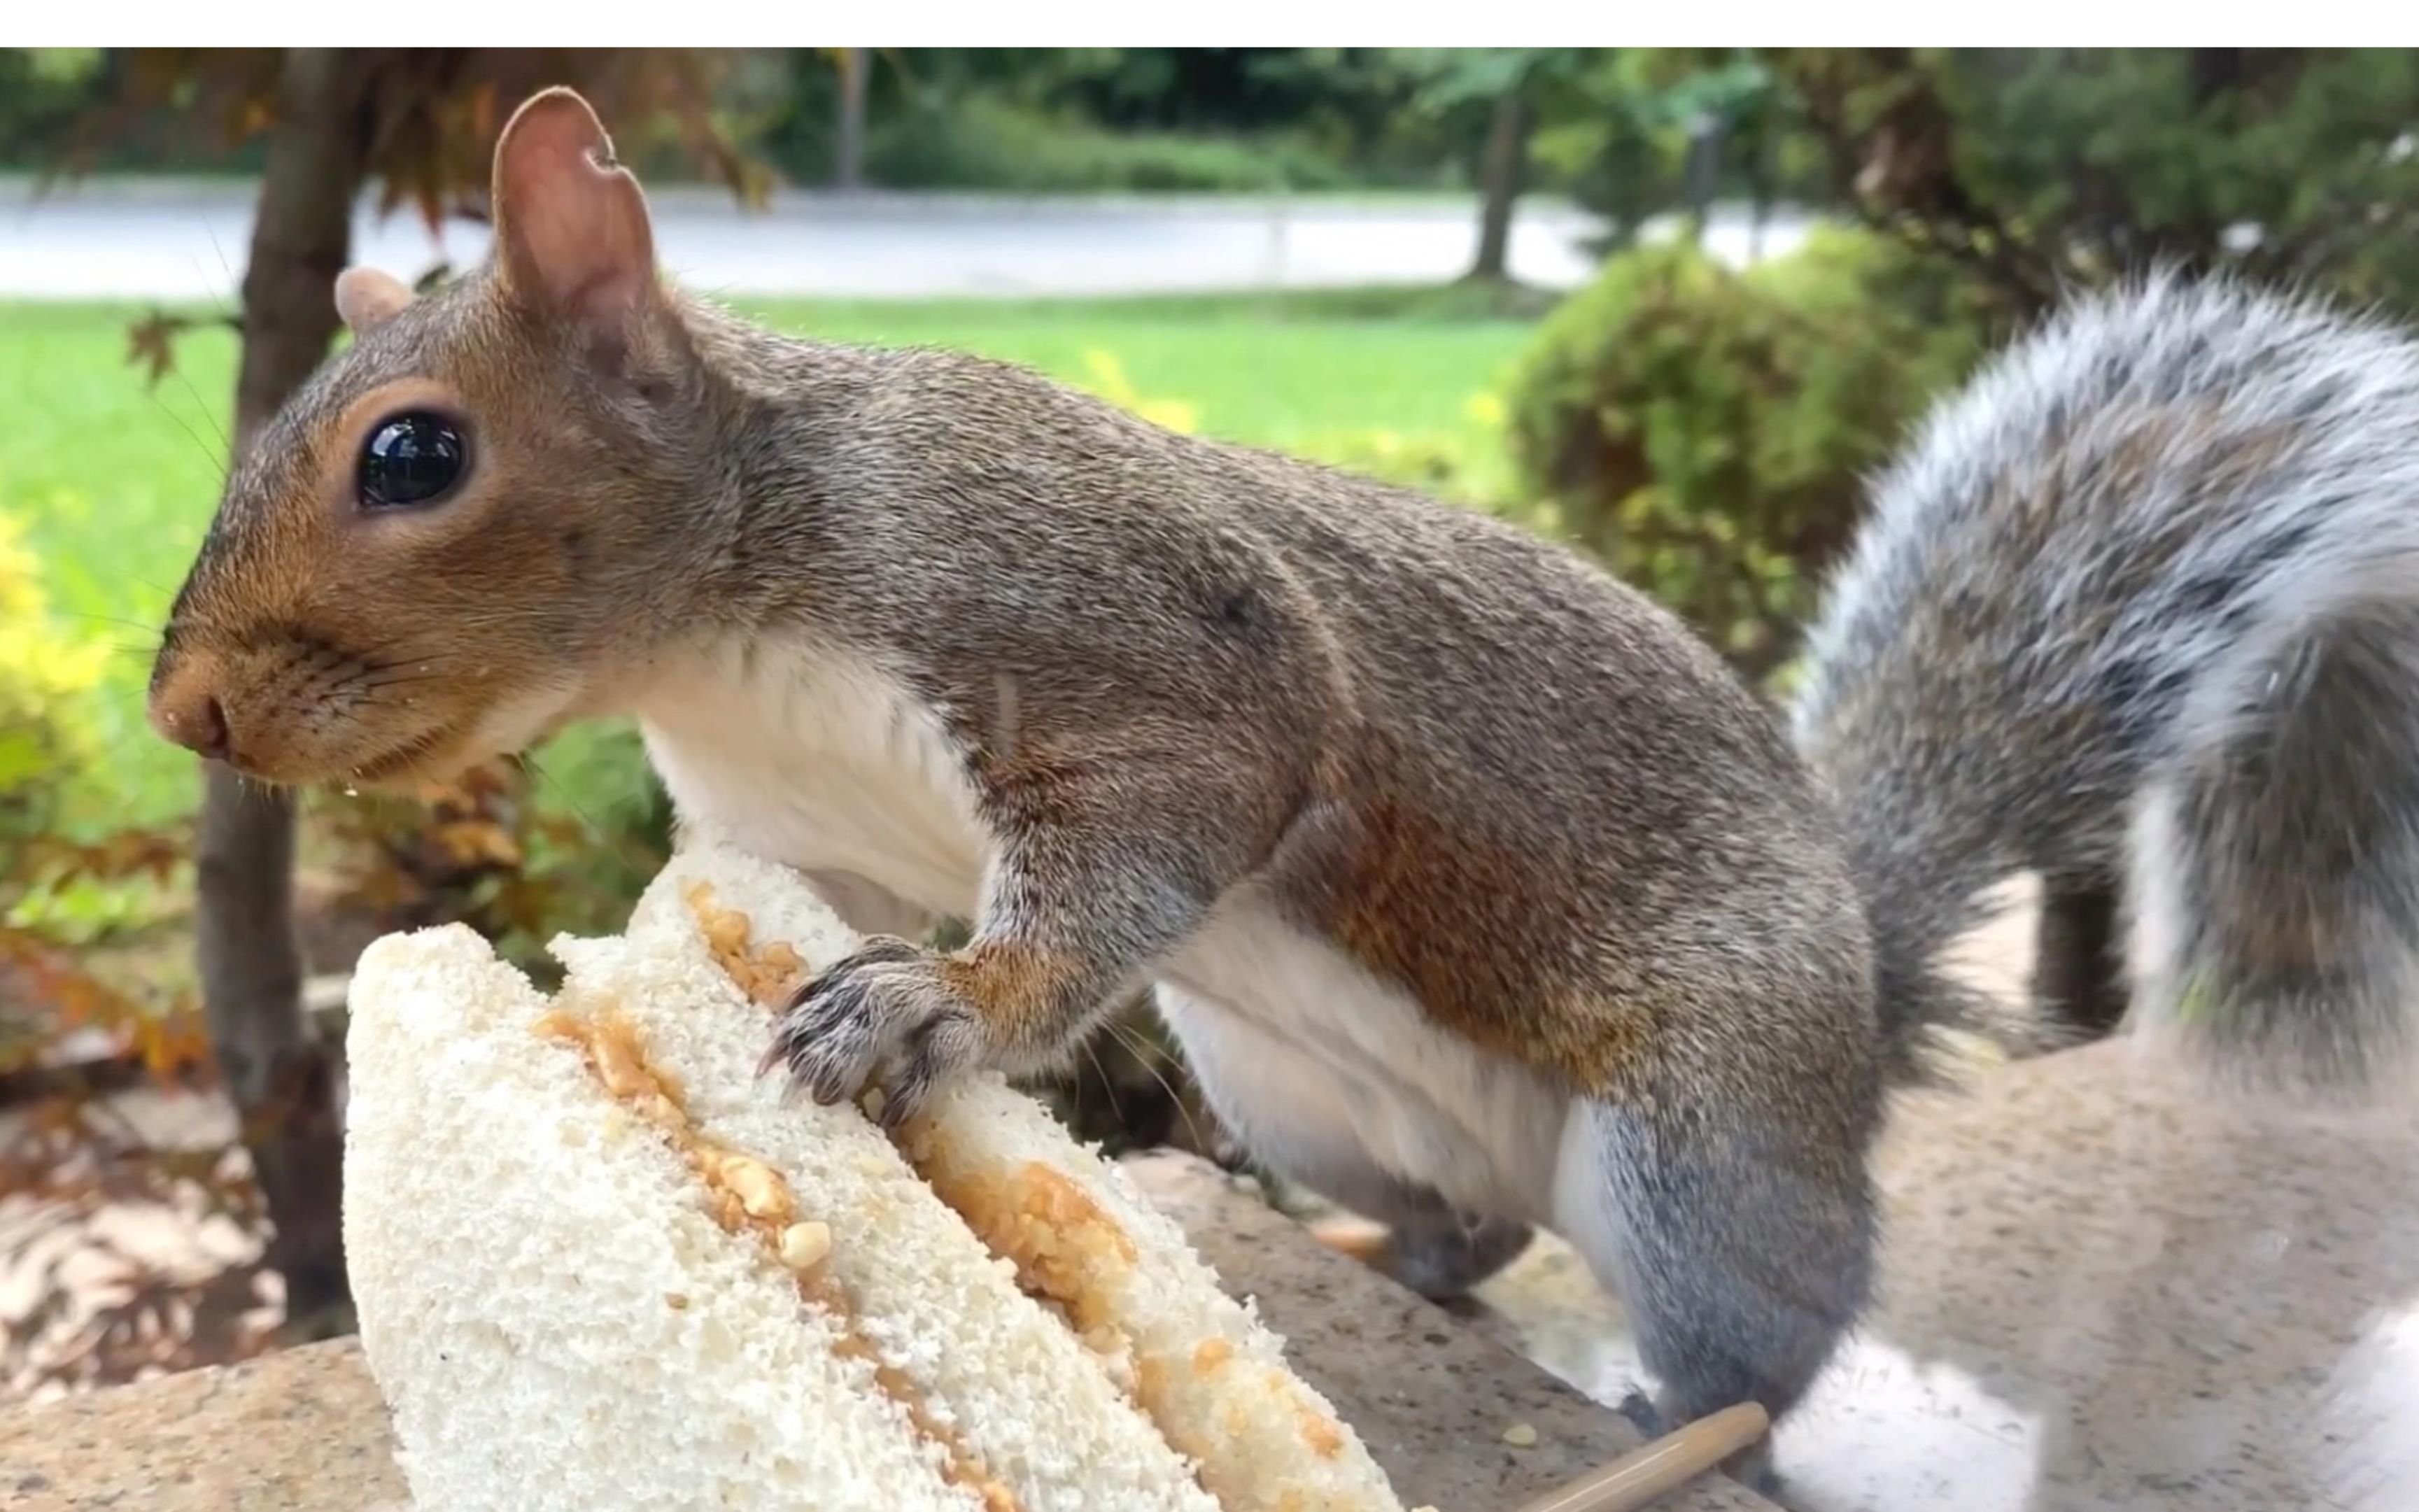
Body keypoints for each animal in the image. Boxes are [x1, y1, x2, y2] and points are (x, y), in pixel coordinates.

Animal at [141, 85, 2409, 1471]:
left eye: (413, 455)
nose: (188, 715)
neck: (729, 616)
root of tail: (1862, 985)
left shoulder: (1142, 653)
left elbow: (1143, 846)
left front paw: (937, 1007)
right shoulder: (785, 835)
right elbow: (786, 920)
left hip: (1699, 1144)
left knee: (1756, 1354)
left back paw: (1673, 1429)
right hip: (1299, 1094)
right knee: (1462, 1235)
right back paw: (1366, 1262)